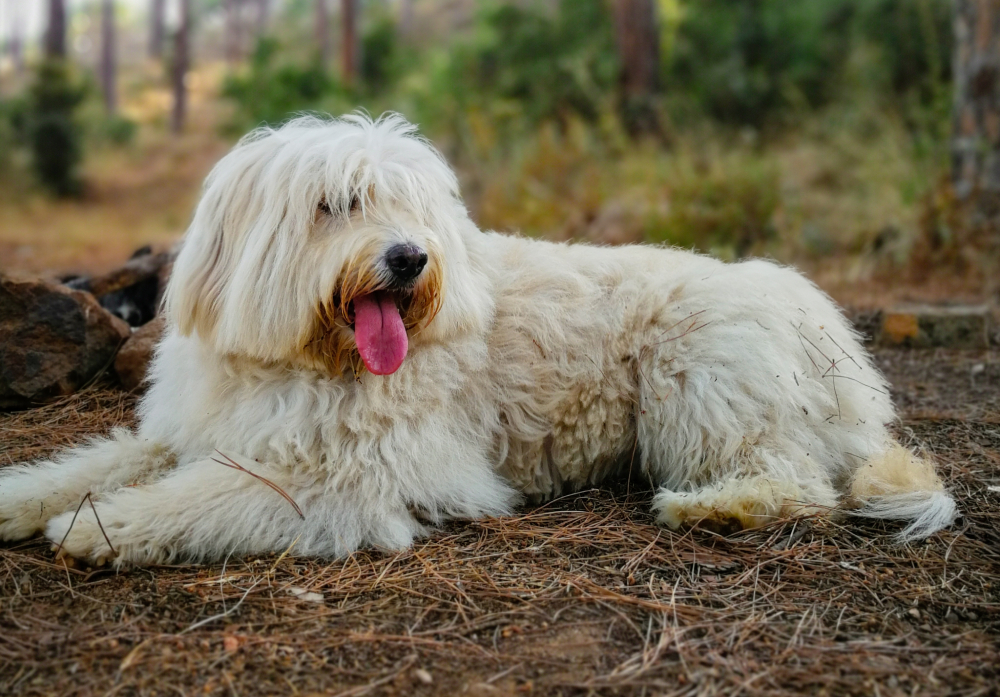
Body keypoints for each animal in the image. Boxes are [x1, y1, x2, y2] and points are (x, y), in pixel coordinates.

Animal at [0, 111, 952, 564]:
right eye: (334, 204)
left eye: (411, 206)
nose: (410, 257)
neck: (307, 360)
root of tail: (835, 342)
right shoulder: (196, 431)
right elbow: (97, 464)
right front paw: (31, 499)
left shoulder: (356, 477)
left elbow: (204, 497)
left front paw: (106, 527)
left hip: (703, 382)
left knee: (798, 485)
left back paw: (715, 506)